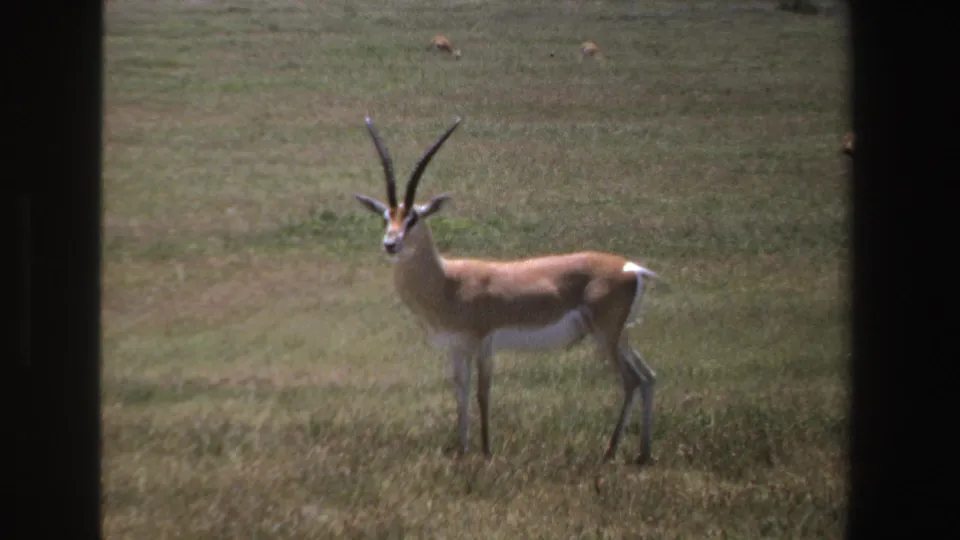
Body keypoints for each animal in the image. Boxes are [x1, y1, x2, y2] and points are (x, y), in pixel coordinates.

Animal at [354, 117, 662, 465]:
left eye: (414, 217)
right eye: (386, 217)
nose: (391, 244)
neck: (448, 281)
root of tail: (631, 268)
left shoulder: (483, 343)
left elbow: (482, 393)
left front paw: (486, 451)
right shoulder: (456, 347)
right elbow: (460, 393)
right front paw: (461, 450)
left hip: (605, 336)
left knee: (632, 380)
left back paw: (610, 452)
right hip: (621, 337)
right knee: (649, 377)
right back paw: (643, 453)